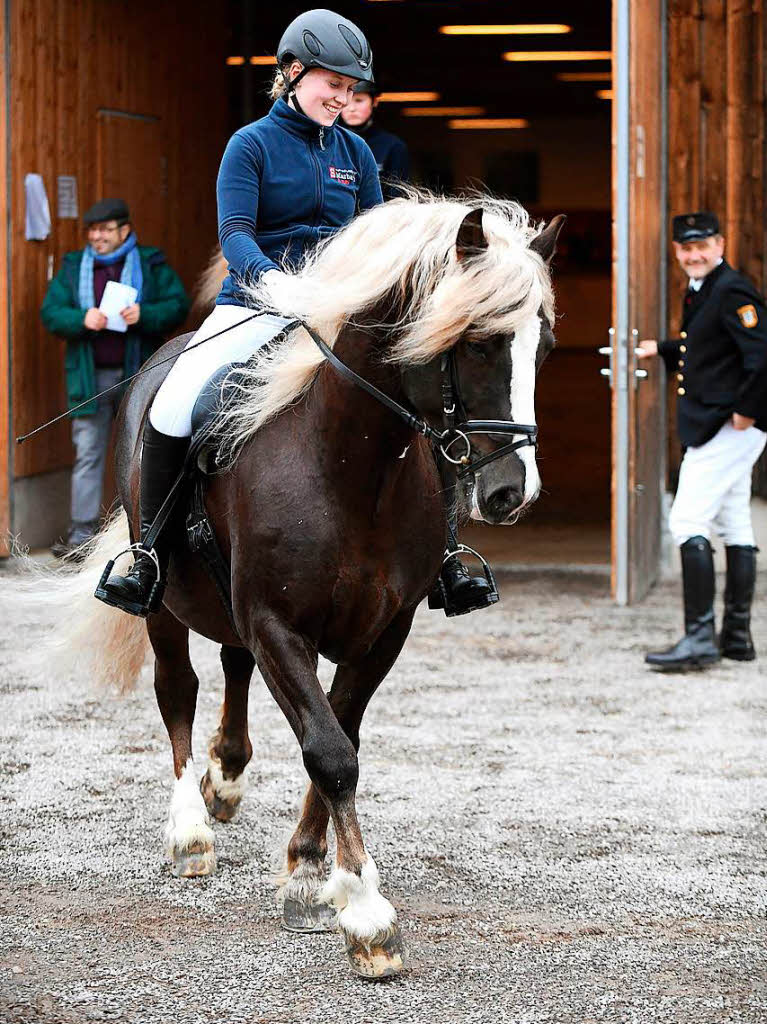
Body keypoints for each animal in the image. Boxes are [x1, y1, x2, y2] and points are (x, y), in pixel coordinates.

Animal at [34, 193, 561, 983]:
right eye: (476, 343)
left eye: (542, 346)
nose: (510, 494)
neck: (351, 462)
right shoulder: (278, 623)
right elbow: (330, 751)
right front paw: (367, 916)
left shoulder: (380, 631)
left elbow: (338, 731)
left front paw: (312, 874)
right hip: (162, 602)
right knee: (177, 689)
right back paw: (191, 829)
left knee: (232, 667)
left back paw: (226, 777)